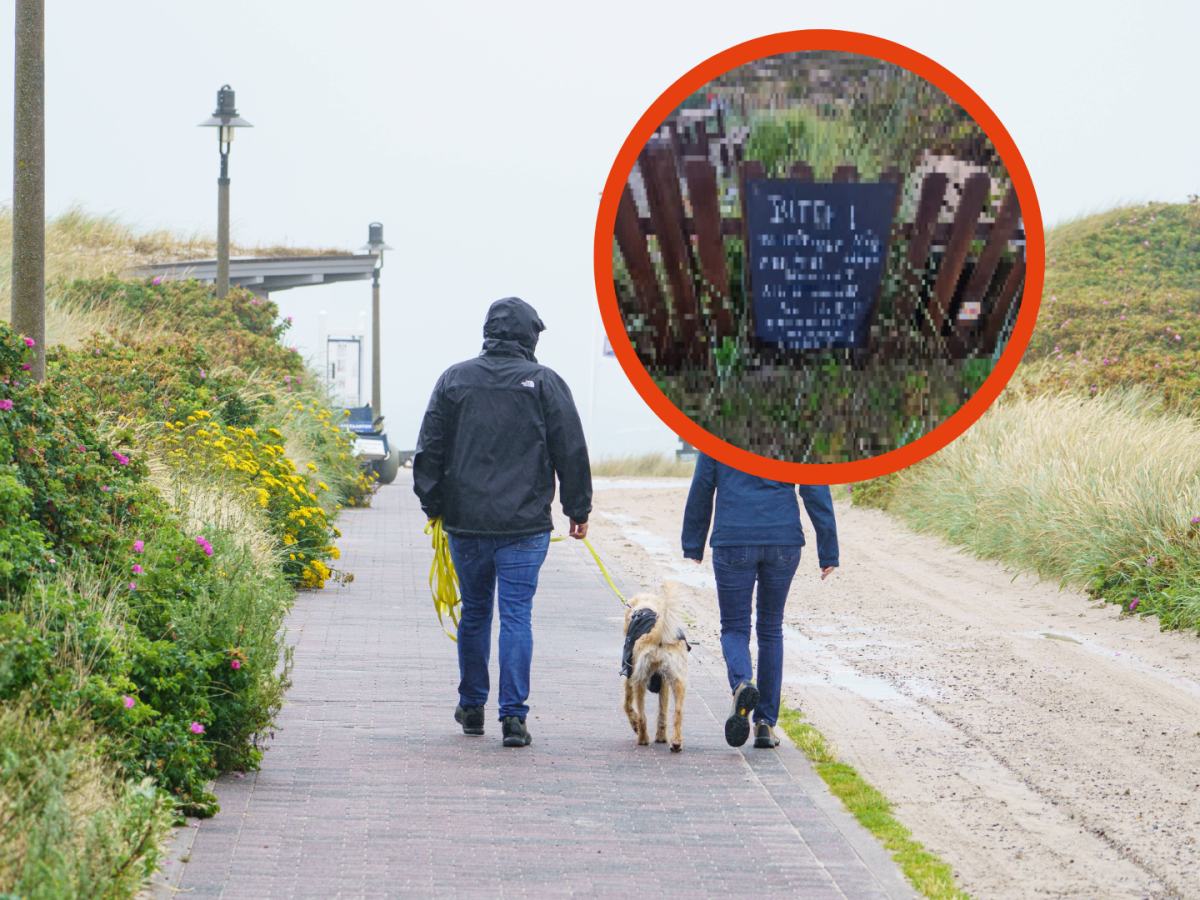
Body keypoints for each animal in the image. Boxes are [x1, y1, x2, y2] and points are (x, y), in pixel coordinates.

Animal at [624, 580, 691, 748]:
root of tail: (658, 633)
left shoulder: (628, 673)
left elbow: (627, 704)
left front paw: (634, 723)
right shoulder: (664, 682)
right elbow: (663, 711)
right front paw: (661, 736)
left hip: (638, 680)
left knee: (642, 716)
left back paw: (642, 738)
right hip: (677, 679)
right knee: (677, 713)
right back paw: (675, 742)